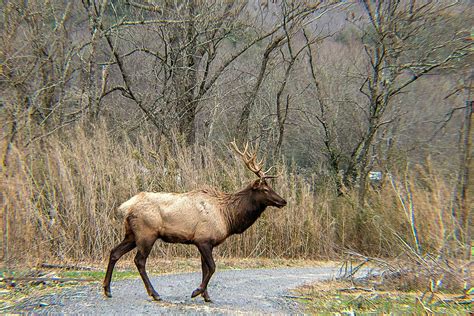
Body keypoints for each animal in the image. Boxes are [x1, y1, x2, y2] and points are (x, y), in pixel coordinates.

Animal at [103, 142, 286, 302]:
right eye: (265, 189)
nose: (283, 201)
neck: (228, 217)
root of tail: (126, 206)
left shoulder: (205, 242)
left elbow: (205, 269)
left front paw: (206, 296)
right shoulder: (203, 239)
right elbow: (212, 267)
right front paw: (196, 291)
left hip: (131, 234)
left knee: (114, 252)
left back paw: (107, 289)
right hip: (146, 234)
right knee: (139, 261)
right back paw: (154, 294)